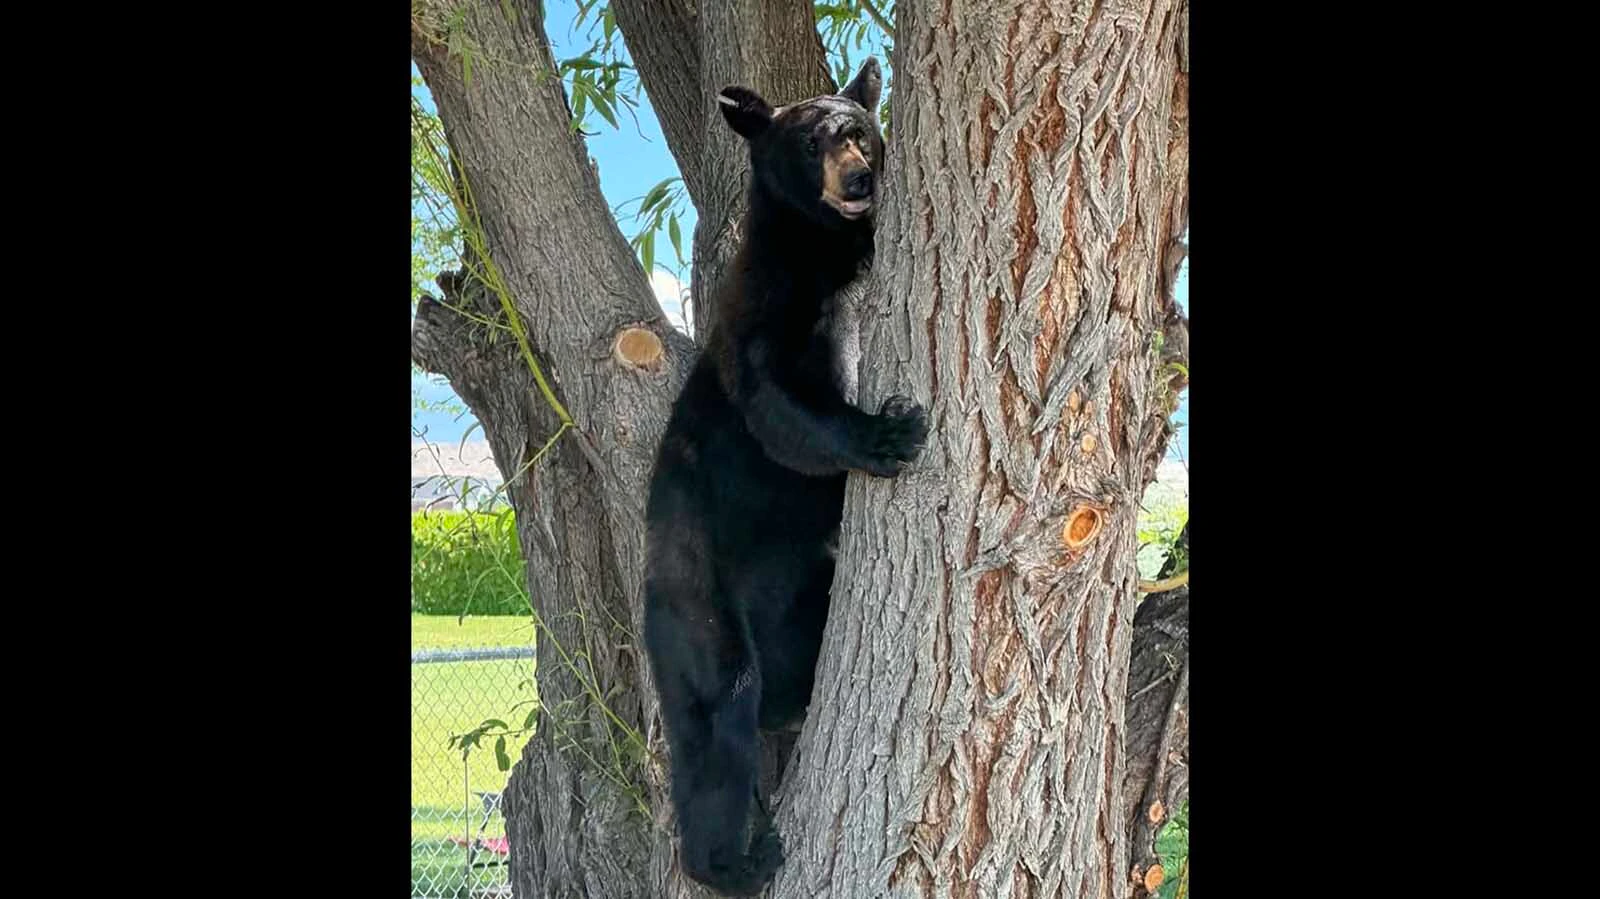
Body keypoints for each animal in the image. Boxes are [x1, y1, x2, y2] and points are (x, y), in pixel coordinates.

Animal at [642, 58, 928, 897]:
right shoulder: (767, 307)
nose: (860, 178)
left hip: (799, 581)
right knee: (717, 721)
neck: (827, 245)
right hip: (699, 606)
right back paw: (738, 859)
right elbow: (782, 404)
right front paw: (889, 432)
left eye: (860, 131)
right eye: (809, 143)